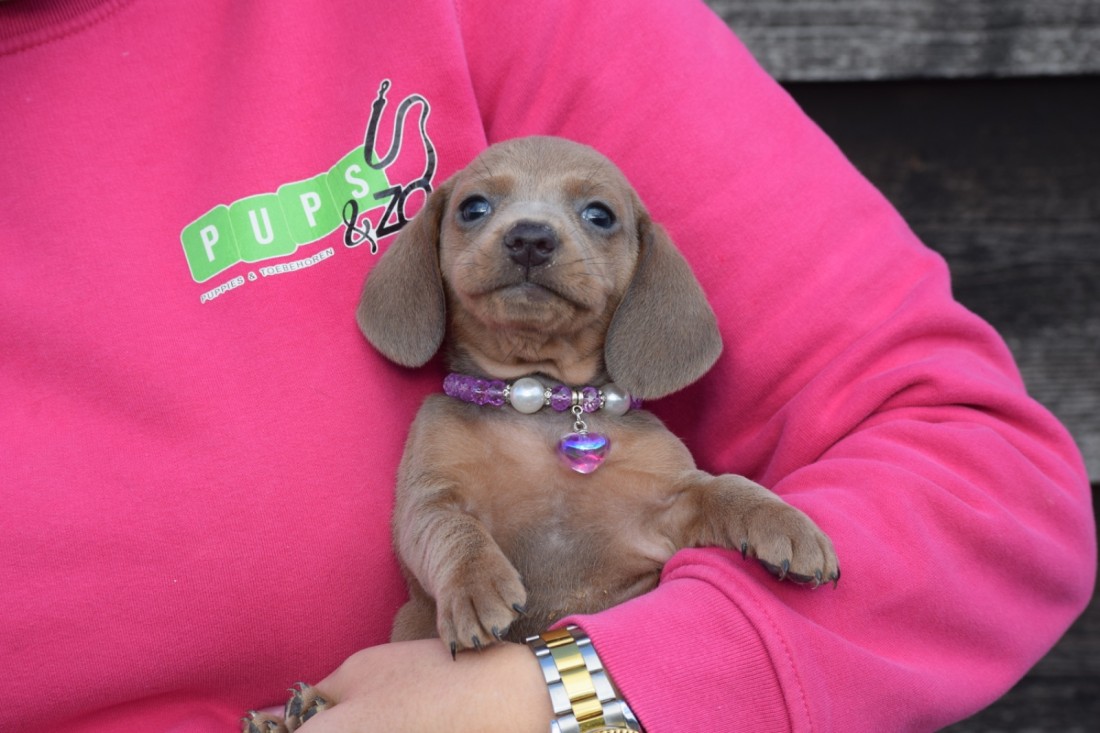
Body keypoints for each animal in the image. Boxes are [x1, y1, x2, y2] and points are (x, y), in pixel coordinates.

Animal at [244, 136, 838, 732]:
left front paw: (786, 524)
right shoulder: (428, 501)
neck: (545, 402)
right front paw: (475, 583)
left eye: (599, 215)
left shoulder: (672, 506)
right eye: (474, 207)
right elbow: (455, 531)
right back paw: (296, 711)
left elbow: (726, 487)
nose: (530, 236)